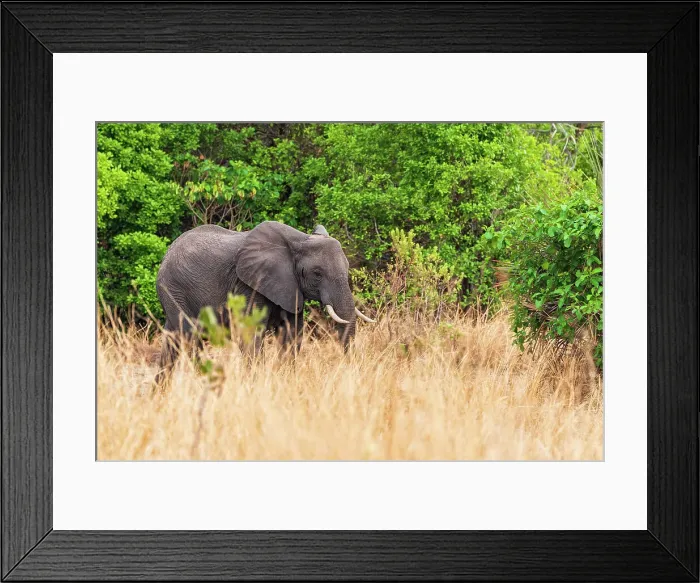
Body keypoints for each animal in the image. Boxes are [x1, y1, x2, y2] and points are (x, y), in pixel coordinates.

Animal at [153, 220, 375, 387]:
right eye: (317, 273)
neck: (299, 241)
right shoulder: (249, 285)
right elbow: (250, 333)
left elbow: (291, 334)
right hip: (174, 289)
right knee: (190, 338)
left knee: (172, 342)